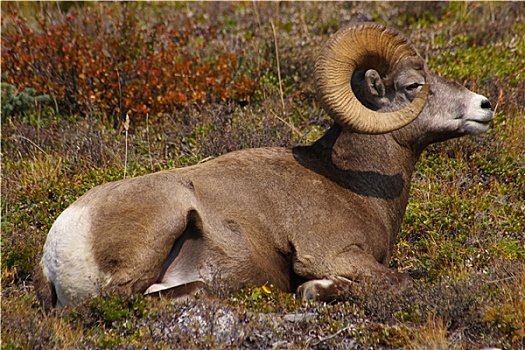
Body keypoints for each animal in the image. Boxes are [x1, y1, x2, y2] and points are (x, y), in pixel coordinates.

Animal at [32, 22, 492, 308]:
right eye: (415, 85)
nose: (485, 106)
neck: (352, 185)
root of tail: (58, 247)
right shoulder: (337, 255)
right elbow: (400, 280)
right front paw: (314, 289)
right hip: (161, 224)